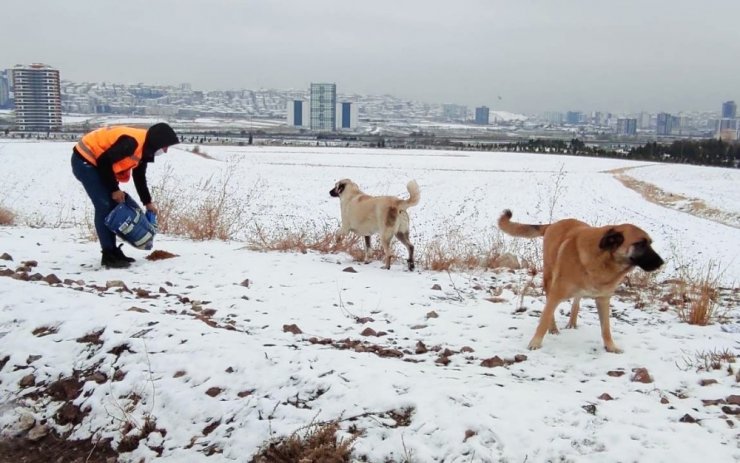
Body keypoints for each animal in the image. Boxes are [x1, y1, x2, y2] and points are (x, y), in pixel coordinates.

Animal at [500, 208, 660, 354]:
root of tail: (553, 224)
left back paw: (572, 322)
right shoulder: (556, 294)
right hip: (549, 279)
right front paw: (535, 343)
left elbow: (606, 328)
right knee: (551, 308)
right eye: (640, 244)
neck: (604, 260)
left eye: (650, 243)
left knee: (576, 302)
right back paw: (554, 328)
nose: (661, 263)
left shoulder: (603, 299)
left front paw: (610, 347)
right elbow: (544, 320)